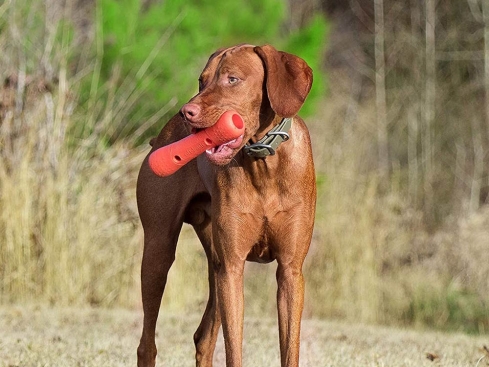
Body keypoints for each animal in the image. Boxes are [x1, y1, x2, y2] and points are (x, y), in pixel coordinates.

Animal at [135, 45, 314, 367]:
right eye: (201, 81)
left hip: (216, 264)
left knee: (203, 338)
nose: (187, 113)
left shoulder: (290, 272)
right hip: (159, 252)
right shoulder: (233, 269)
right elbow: (234, 349)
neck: (264, 166)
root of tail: (164, 132)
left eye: (233, 79)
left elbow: (289, 349)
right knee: (147, 343)